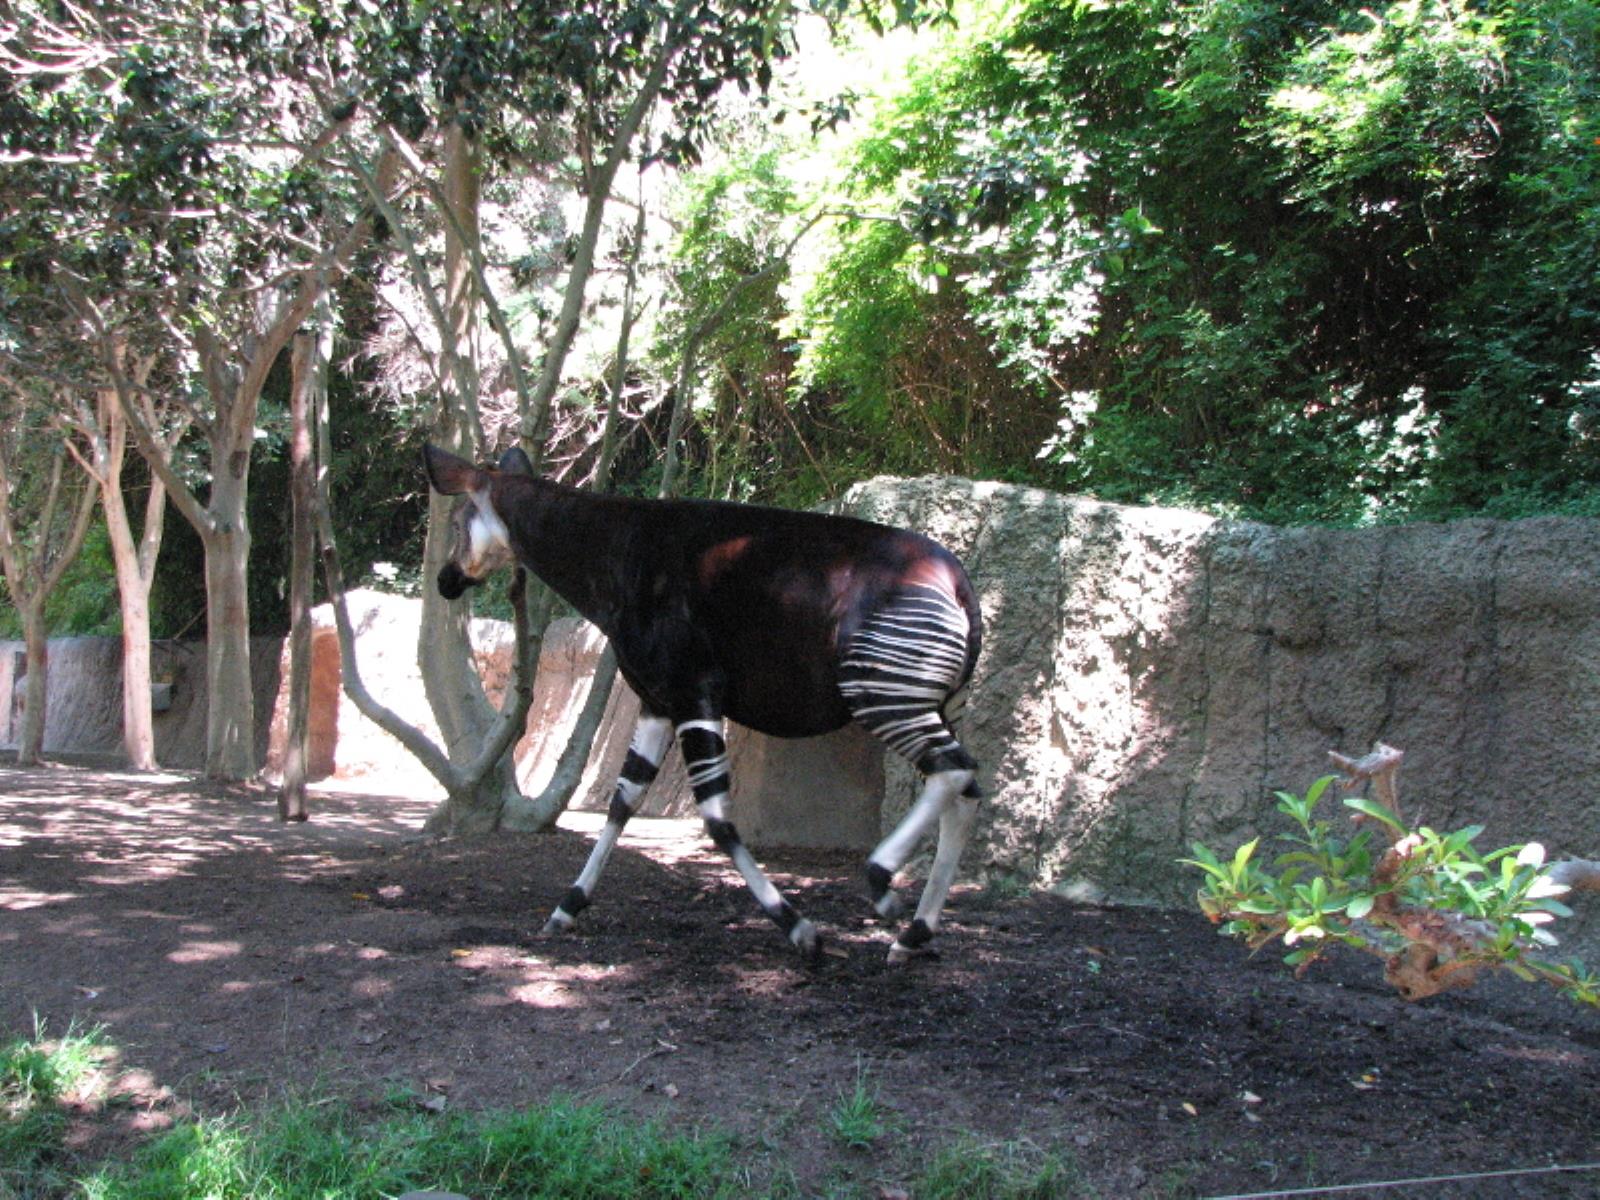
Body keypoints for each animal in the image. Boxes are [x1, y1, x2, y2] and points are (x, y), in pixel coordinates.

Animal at [423, 444, 984, 964]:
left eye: (457, 523)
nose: (445, 581)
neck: (614, 553)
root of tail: (959, 582)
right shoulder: (657, 700)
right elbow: (624, 798)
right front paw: (567, 906)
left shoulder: (692, 689)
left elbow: (713, 814)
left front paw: (800, 928)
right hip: (937, 702)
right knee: (963, 789)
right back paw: (914, 934)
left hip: (882, 695)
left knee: (954, 772)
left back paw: (882, 883)